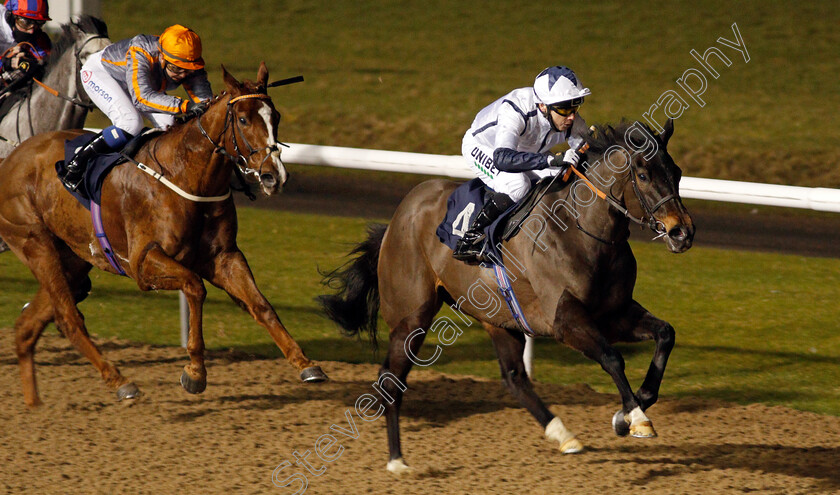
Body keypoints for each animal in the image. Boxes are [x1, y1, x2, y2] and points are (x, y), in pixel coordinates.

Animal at [0, 62, 326, 406]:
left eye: (275, 116)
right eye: (243, 119)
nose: (274, 176)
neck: (186, 174)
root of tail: (11, 158)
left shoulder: (224, 257)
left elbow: (261, 305)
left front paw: (305, 363)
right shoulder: (144, 261)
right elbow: (195, 288)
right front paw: (195, 372)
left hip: (74, 259)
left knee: (28, 324)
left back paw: (34, 403)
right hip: (35, 244)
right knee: (67, 317)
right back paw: (120, 381)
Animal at [318, 119, 692, 472]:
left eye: (676, 172)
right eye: (643, 175)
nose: (682, 232)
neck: (582, 229)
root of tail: (398, 217)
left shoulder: (614, 313)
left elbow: (666, 334)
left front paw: (629, 410)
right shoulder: (565, 321)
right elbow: (612, 358)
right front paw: (636, 418)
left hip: (499, 319)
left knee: (514, 378)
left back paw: (563, 435)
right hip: (412, 318)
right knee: (391, 380)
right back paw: (397, 460)